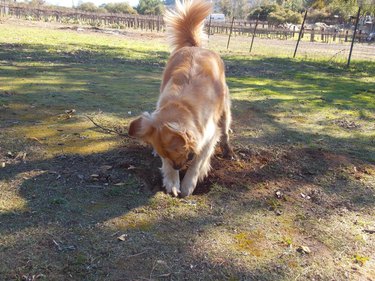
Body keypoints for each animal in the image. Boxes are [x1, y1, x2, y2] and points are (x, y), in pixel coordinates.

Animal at [131, 0, 234, 196]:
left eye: (181, 151)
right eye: (165, 156)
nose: (178, 168)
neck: (182, 105)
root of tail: (195, 47)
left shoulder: (208, 136)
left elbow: (198, 161)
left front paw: (188, 183)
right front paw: (172, 181)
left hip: (224, 111)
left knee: (225, 132)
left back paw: (228, 151)